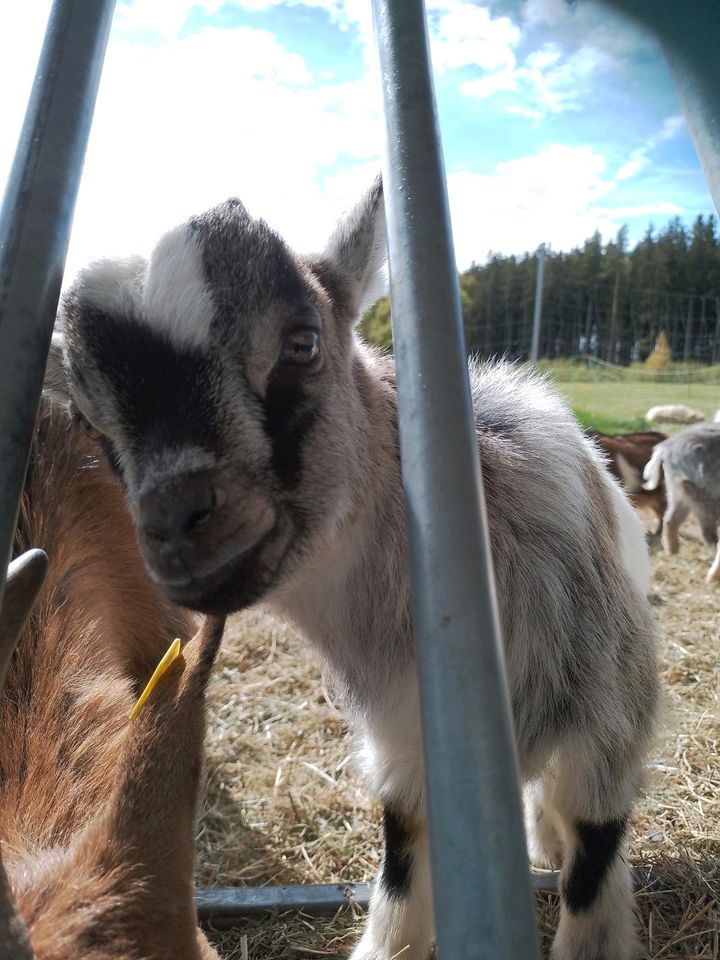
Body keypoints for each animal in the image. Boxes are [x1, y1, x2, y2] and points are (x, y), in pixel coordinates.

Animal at [60, 182, 660, 960]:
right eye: (87, 418)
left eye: (303, 342)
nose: (173, 524)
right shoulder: (403, 735)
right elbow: (402, 850)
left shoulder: (609, 720)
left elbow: (593, 861)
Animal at [644, 422, 720, 584]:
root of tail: (665, 448)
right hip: (702, 497)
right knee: (709, 536)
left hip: (677, 490)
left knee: (669, 520)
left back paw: (672, 553)